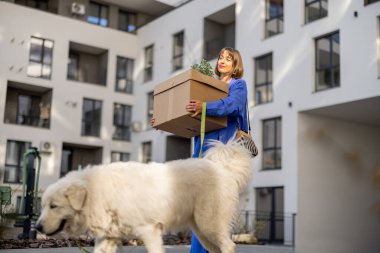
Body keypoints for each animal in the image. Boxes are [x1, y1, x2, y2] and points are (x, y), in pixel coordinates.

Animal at [35, 140, 252, 253]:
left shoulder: (149, 230)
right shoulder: (108, 237)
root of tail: (221, 168)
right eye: (43, 206)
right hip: (201, 229)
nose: (37, 227)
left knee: (229, 246)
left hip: (209, 224)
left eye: (53, 206)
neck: (96, 191)